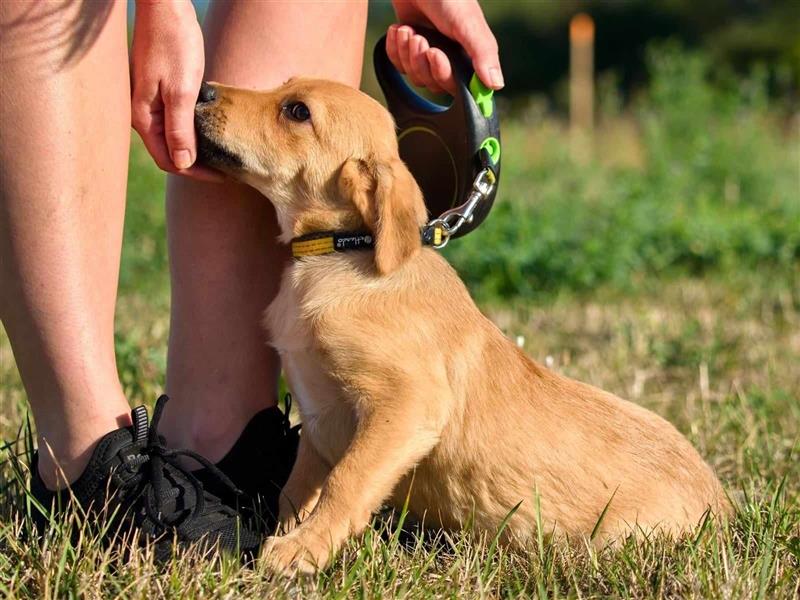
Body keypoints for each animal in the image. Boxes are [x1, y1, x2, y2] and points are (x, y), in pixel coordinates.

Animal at [194, 78, 732, 572]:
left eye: (297, 111)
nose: (203, 90)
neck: (341, 250)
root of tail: (724, 509)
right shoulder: (321, 419)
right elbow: (295, 489)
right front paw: (286, 535)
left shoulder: (409, 404)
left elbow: (347, 482)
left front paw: (301, 550)